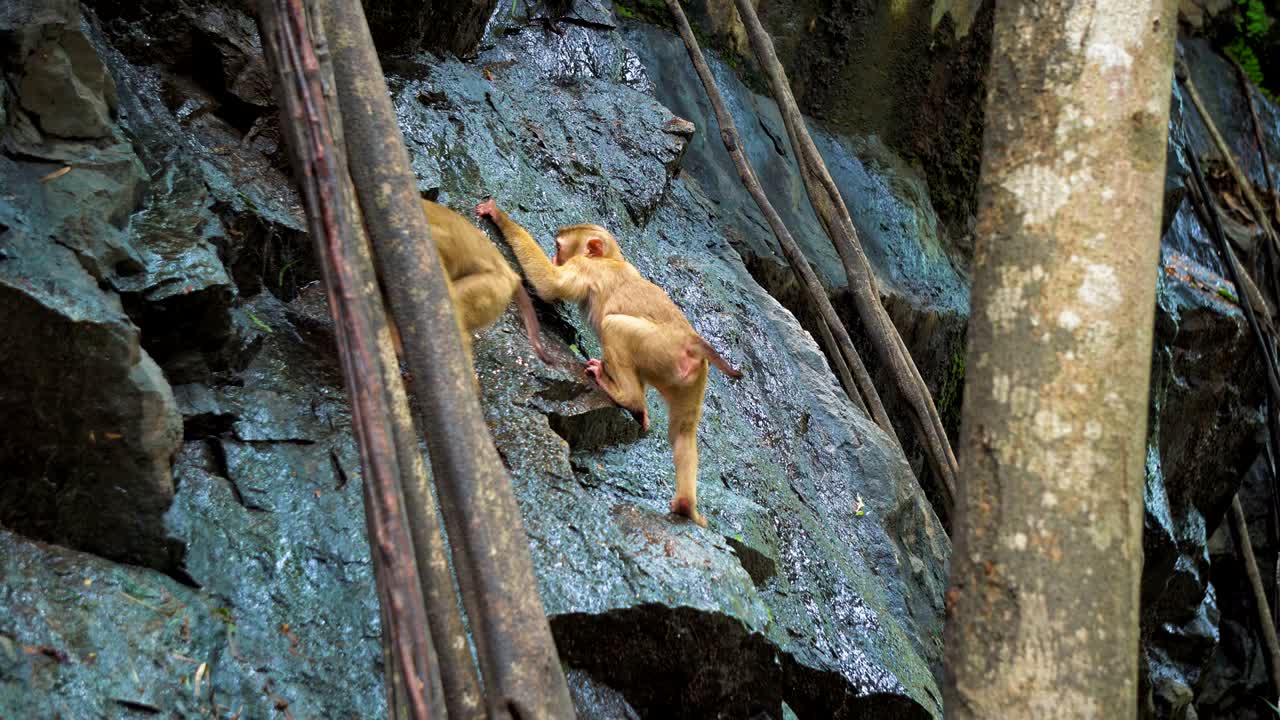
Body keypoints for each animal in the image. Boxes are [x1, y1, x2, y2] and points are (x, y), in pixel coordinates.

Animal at [474, 198, 742, 528]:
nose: (555, 255)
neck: (613, 259)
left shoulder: (585, 267)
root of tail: (692, 341)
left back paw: (628, 398)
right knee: (683, 431)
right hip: (693, 378)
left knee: (613, 326)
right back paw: (684, 506)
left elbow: (550, 285)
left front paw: (499, 216)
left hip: (659, 347)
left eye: (559, 246)